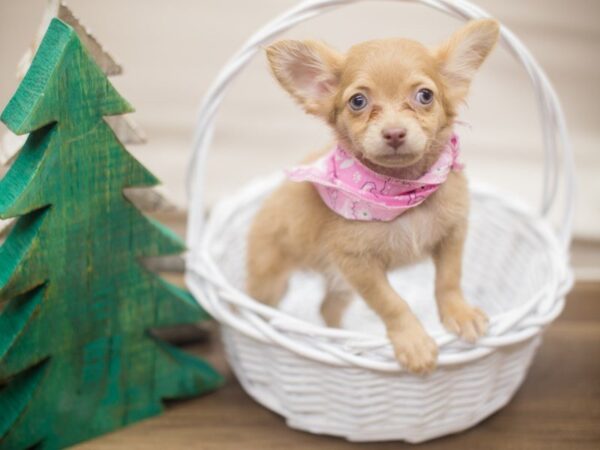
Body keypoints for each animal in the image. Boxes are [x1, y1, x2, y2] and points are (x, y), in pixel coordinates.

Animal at [246, 20, 500, 372]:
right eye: (358, 102)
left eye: (425, 95)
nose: (394, 133)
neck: (403, 190)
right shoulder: (359, 266)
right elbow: (392, 303)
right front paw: (414, 341)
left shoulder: (452, 235)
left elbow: (449, 279)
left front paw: (459, 313)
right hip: (270, 280)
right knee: (255, 300)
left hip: (340, 285)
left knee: (327, 308)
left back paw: (343, 340)